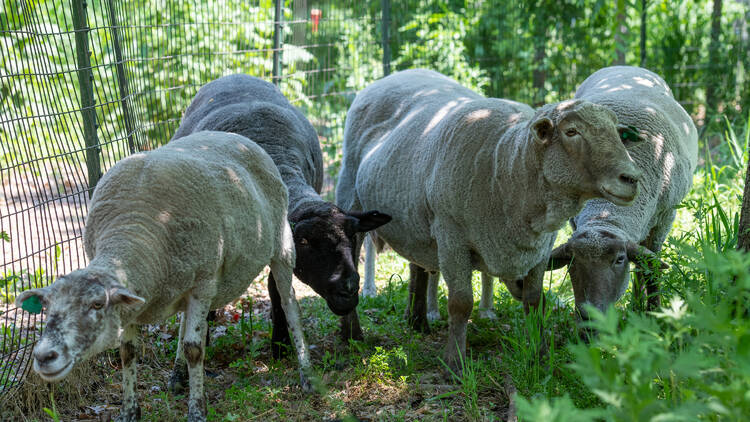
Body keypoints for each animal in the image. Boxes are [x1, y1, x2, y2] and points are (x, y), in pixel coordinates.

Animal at [16, 132, 312, 422]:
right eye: (46, 306)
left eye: (97, 304)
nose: (43, 356)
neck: (135, 227)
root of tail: (239, 137)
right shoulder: (136, 298)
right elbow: (128, 352)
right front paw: (129, 411)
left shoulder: (203, 283)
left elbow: (195, 348)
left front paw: (197, 411)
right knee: (184, 323)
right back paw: (178, 377)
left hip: (282, 245)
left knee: (290, 305)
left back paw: (306, 373)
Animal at [172, 73, 394, 350]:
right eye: (305, 241)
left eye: (353, 236)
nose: (349, 290)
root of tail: (235, 75)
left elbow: (277, 289)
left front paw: (280, 343)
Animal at [338, 67, 644, 370]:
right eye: (571, 131)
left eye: (618, 133)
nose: (631, 178)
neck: (507, 165)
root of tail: (399, 74)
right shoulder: (451, 237)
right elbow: (461, 303)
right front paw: (455, 363)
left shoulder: (540, 248)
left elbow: (535, 300)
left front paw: (540, 355)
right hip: (351, 198)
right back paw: (351, 334)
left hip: (415, 221)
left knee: (418, 266)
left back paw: (417, 321)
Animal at [548, 65, 700, 316]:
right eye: (572, 262)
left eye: (619, 260)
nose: (591, 316)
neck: (606, 212)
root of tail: (626, 66)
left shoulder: (665, 217)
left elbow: (651, 265)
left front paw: (653, 311)